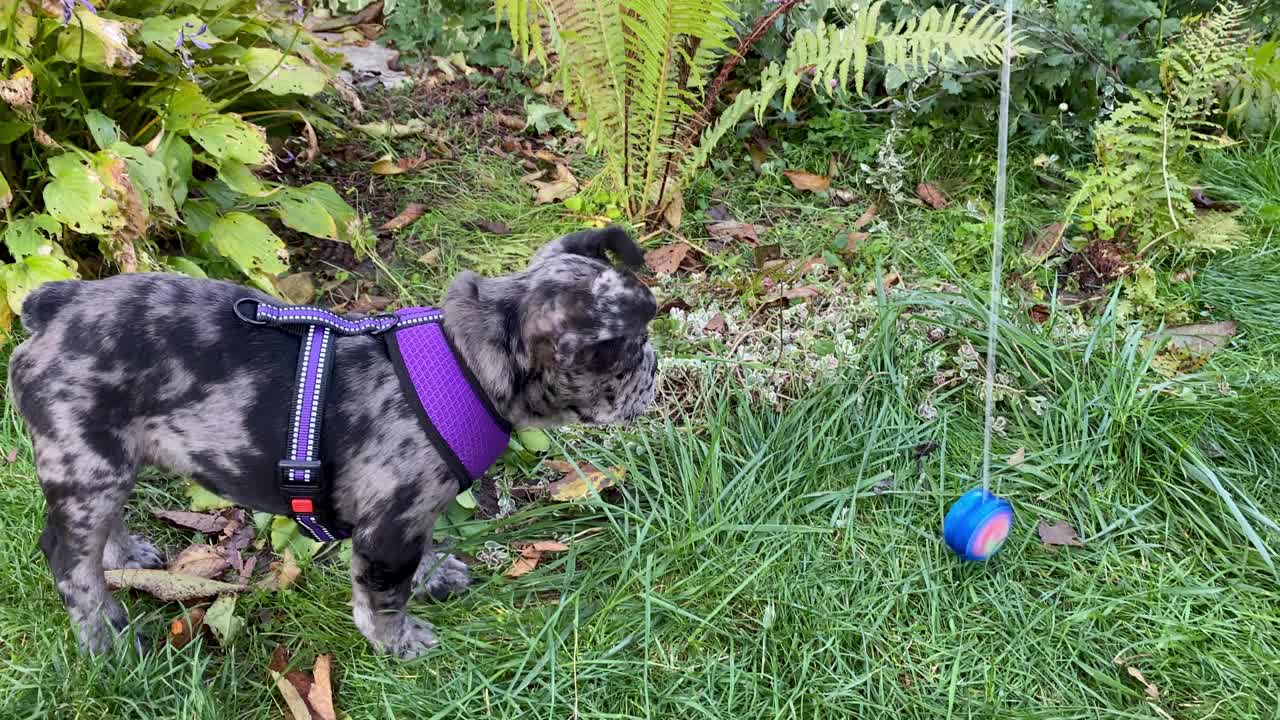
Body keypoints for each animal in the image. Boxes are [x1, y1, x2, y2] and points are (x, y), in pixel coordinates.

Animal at [5, 225, 655, 655]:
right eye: (626, 351)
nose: (656, 369)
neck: (465, 365)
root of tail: (55, 306)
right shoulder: (390, 528)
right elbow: (383, 597)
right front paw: (399, 643)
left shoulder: (401, 520)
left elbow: (415, 557)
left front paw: (434, 575)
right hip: (89, 463)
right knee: (68, 559)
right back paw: (107, 639)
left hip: (108, 462)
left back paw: (124, 555)